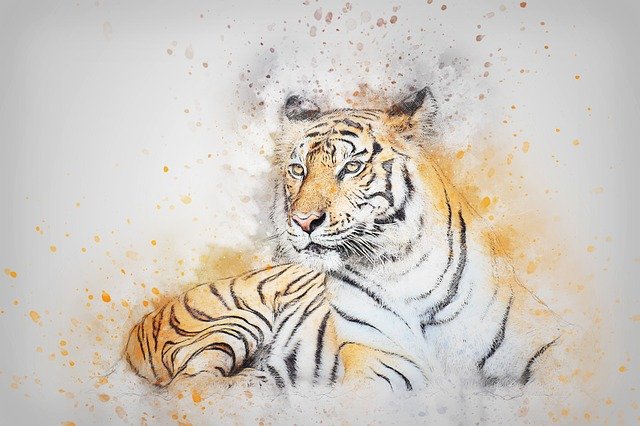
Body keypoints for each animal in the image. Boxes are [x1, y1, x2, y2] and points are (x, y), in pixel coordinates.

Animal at [124, 86, 562, 393]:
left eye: (351, 167)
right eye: (298, 170)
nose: (303, 221)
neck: (403, 268)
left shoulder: (544, 343)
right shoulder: (379, 366)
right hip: (231, 323)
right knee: (191, 386)